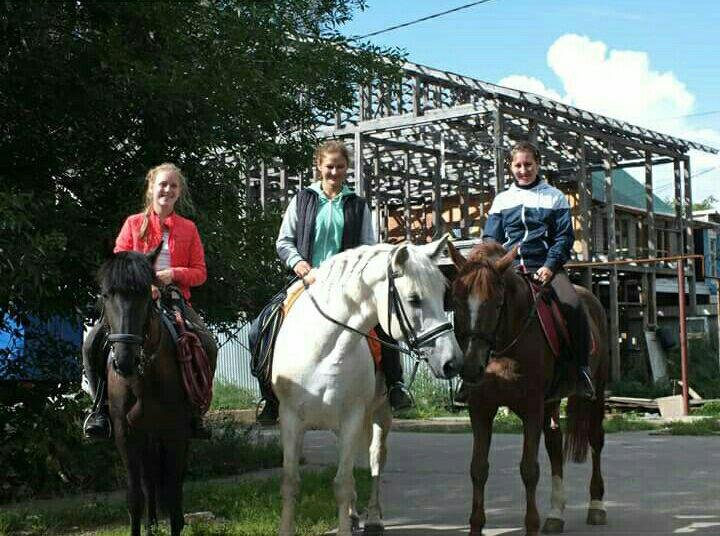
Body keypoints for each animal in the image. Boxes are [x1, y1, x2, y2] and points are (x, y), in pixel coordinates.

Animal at [100, 249, 194, 532]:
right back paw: (151, 523)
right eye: (106, 294)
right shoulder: (126, 433)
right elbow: (134, 498)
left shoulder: (176, 432)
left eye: (144, 294)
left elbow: (174, 495)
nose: (124, 360)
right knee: (149, 479)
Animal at [272, 238, 464, 536]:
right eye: (414, 299)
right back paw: (353, 516)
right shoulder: (290, 418)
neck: (321, 348)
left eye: (443, 293)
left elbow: (343, 483)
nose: (452, 362)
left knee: (375, 459)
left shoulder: (352, 416)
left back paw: (372, 518)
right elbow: (291, 482)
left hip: (380, 414)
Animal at [450, 244, 608, 536]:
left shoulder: (531, 407)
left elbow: (529, 469)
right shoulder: (481, 409)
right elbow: (478, 468)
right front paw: (476, 526)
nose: (471, 367)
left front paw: (531, 525)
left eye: (497, 303)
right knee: (555, 443)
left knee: (595, 438)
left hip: (598, 390)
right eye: (456, 301)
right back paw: (556, 514)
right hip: (551, 402)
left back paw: (597, 506)